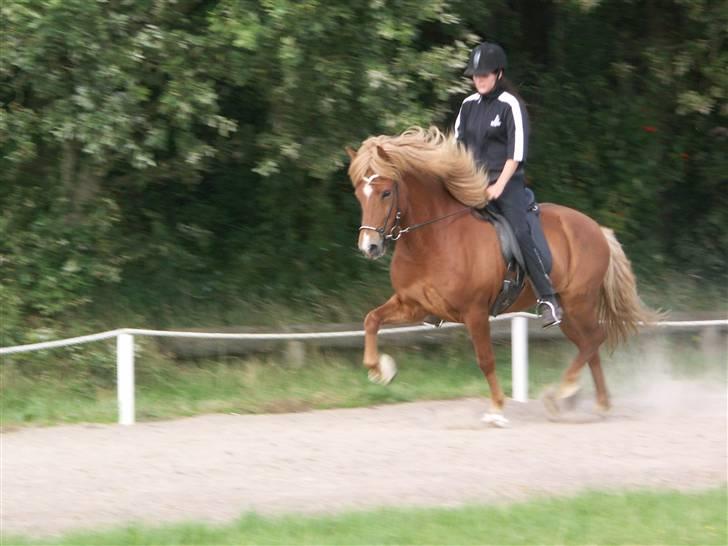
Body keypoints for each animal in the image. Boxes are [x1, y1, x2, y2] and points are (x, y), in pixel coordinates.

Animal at [344, 125, 656, 422]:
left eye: (386, 193)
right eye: (359, 194)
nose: (369, 246)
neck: (433, 238)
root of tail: (597, 229)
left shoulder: (475, 312)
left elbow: (485, 359)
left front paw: (496, 408)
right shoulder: (414, 305)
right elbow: (371, 320)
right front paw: (380, 370)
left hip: (580, 302)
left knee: (594, 339)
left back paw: (564, 393)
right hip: (567, 311)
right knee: (587, 345)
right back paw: (589, 400)